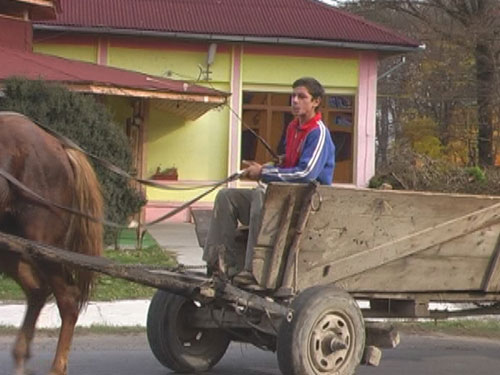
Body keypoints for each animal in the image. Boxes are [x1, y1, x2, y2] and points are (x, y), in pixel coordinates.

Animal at [0, 112, 103, 375]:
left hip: (44, 245)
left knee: (67, 299)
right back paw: (21, 356)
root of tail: (59, 146)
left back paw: (57, 367)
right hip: (11, 244)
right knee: (38, 290)